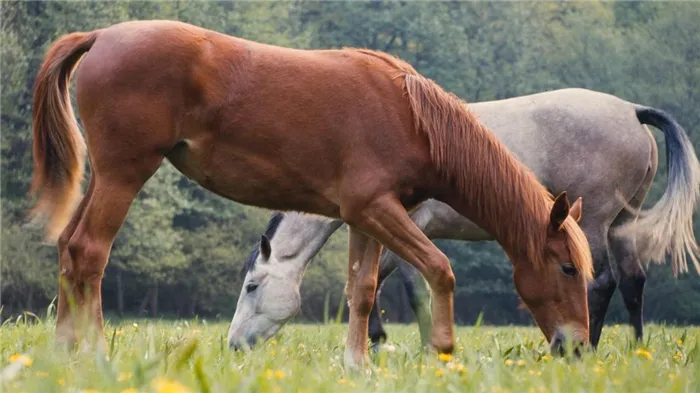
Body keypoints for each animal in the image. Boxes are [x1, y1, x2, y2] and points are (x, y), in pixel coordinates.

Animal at [30, 19, 592, 366]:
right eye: (567, 268)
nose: (577, 348)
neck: (411, 117)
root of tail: (101, 35)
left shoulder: (367, 217)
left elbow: (362, 291)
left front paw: (357, 365)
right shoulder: (377, 210)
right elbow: (439, 269)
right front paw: (442, 350)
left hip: (103, 177)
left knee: (69, 250)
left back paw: (63, 354)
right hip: (124, 174)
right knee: (90, 252)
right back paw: (96, 355)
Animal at [231, 88, 700, 350]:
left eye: (252, 286)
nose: (234, 346)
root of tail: (631, 110)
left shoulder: (408, 228)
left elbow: (409, 287)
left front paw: (418, 345)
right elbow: (370, 283)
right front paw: (379, 342)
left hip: (593, 224)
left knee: (600, 282)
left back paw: (586, 346)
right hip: (621, 223)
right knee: (634, 282)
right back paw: (634, 349)